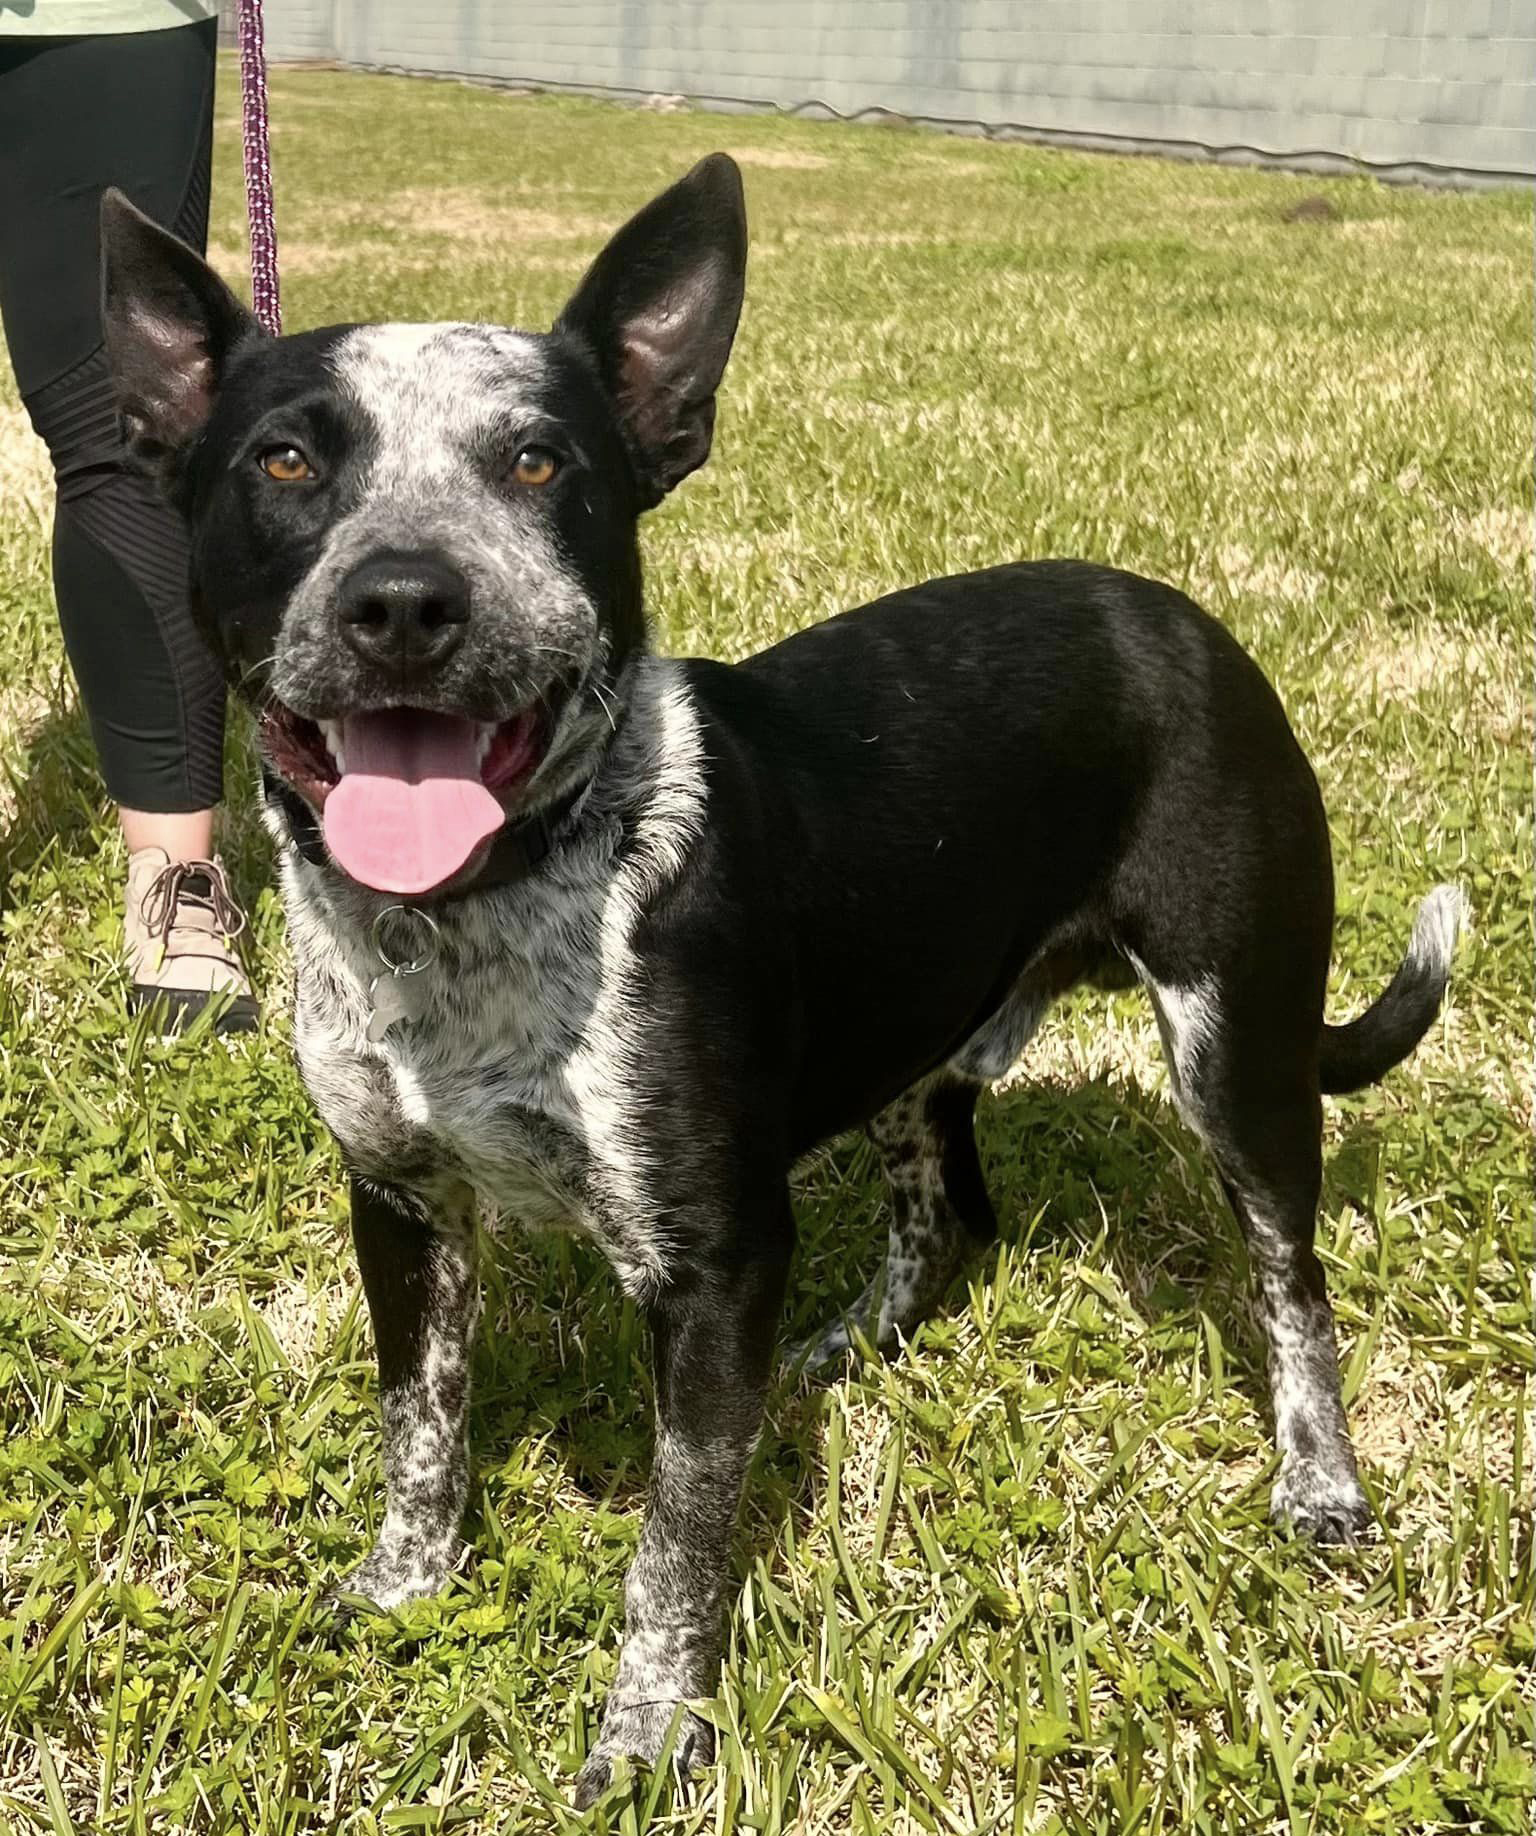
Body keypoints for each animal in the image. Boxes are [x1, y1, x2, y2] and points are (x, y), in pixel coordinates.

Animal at [101, 154, 1453, 1791]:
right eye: (287, 460)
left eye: (541, 465)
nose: (407, 601)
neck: (489, 901)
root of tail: (1184, 617)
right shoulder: (402, 1203)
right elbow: (422, 1426)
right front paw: (404, 1586)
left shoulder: (710, 1262)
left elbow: (677, 1537)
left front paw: (646, 1735)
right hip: (911, 1039)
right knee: (948, 1212)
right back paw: (849, 1345)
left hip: (1237, 1056)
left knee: (1290, 1278)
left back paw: (1320, 1484)